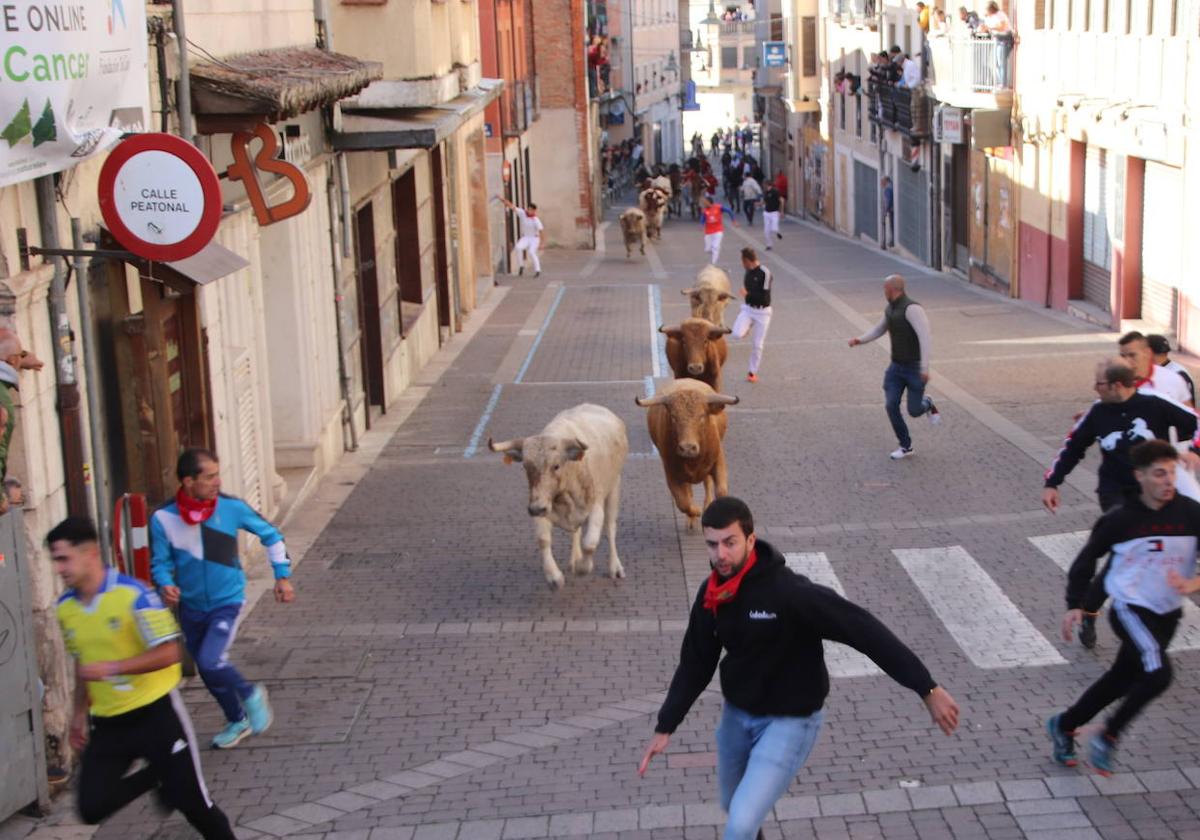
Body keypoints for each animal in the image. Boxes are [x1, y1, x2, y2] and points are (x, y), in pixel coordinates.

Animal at [633, 379, 734, 528]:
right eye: (673, 417)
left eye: (701, 416)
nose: (687, 448)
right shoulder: (671, 472)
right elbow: (683, 502)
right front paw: (696, 512)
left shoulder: (718, 461)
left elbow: (721, 491)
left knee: (707, 483)